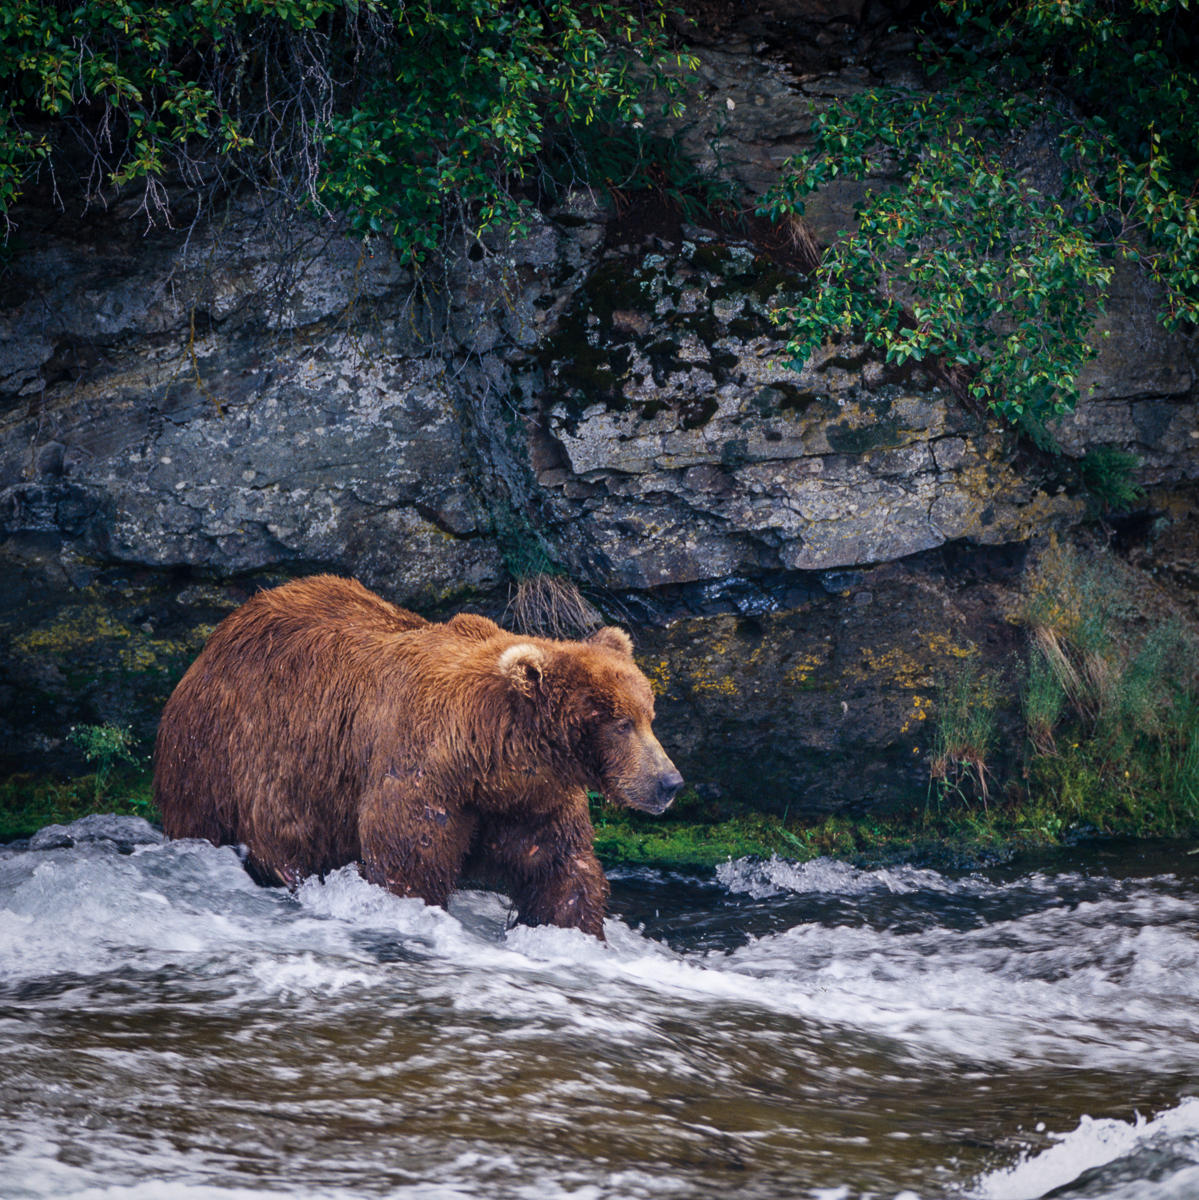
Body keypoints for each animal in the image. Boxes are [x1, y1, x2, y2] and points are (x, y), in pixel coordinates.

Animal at [157, 576, 686, 940]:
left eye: (649, 714)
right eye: (620, 722)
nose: (670, 782)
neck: (489, 757)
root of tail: (215, 640)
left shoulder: (531, 796)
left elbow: (561, 870)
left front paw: (571, 934)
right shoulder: (421, 775)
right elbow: (409, 863)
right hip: (227, 756)